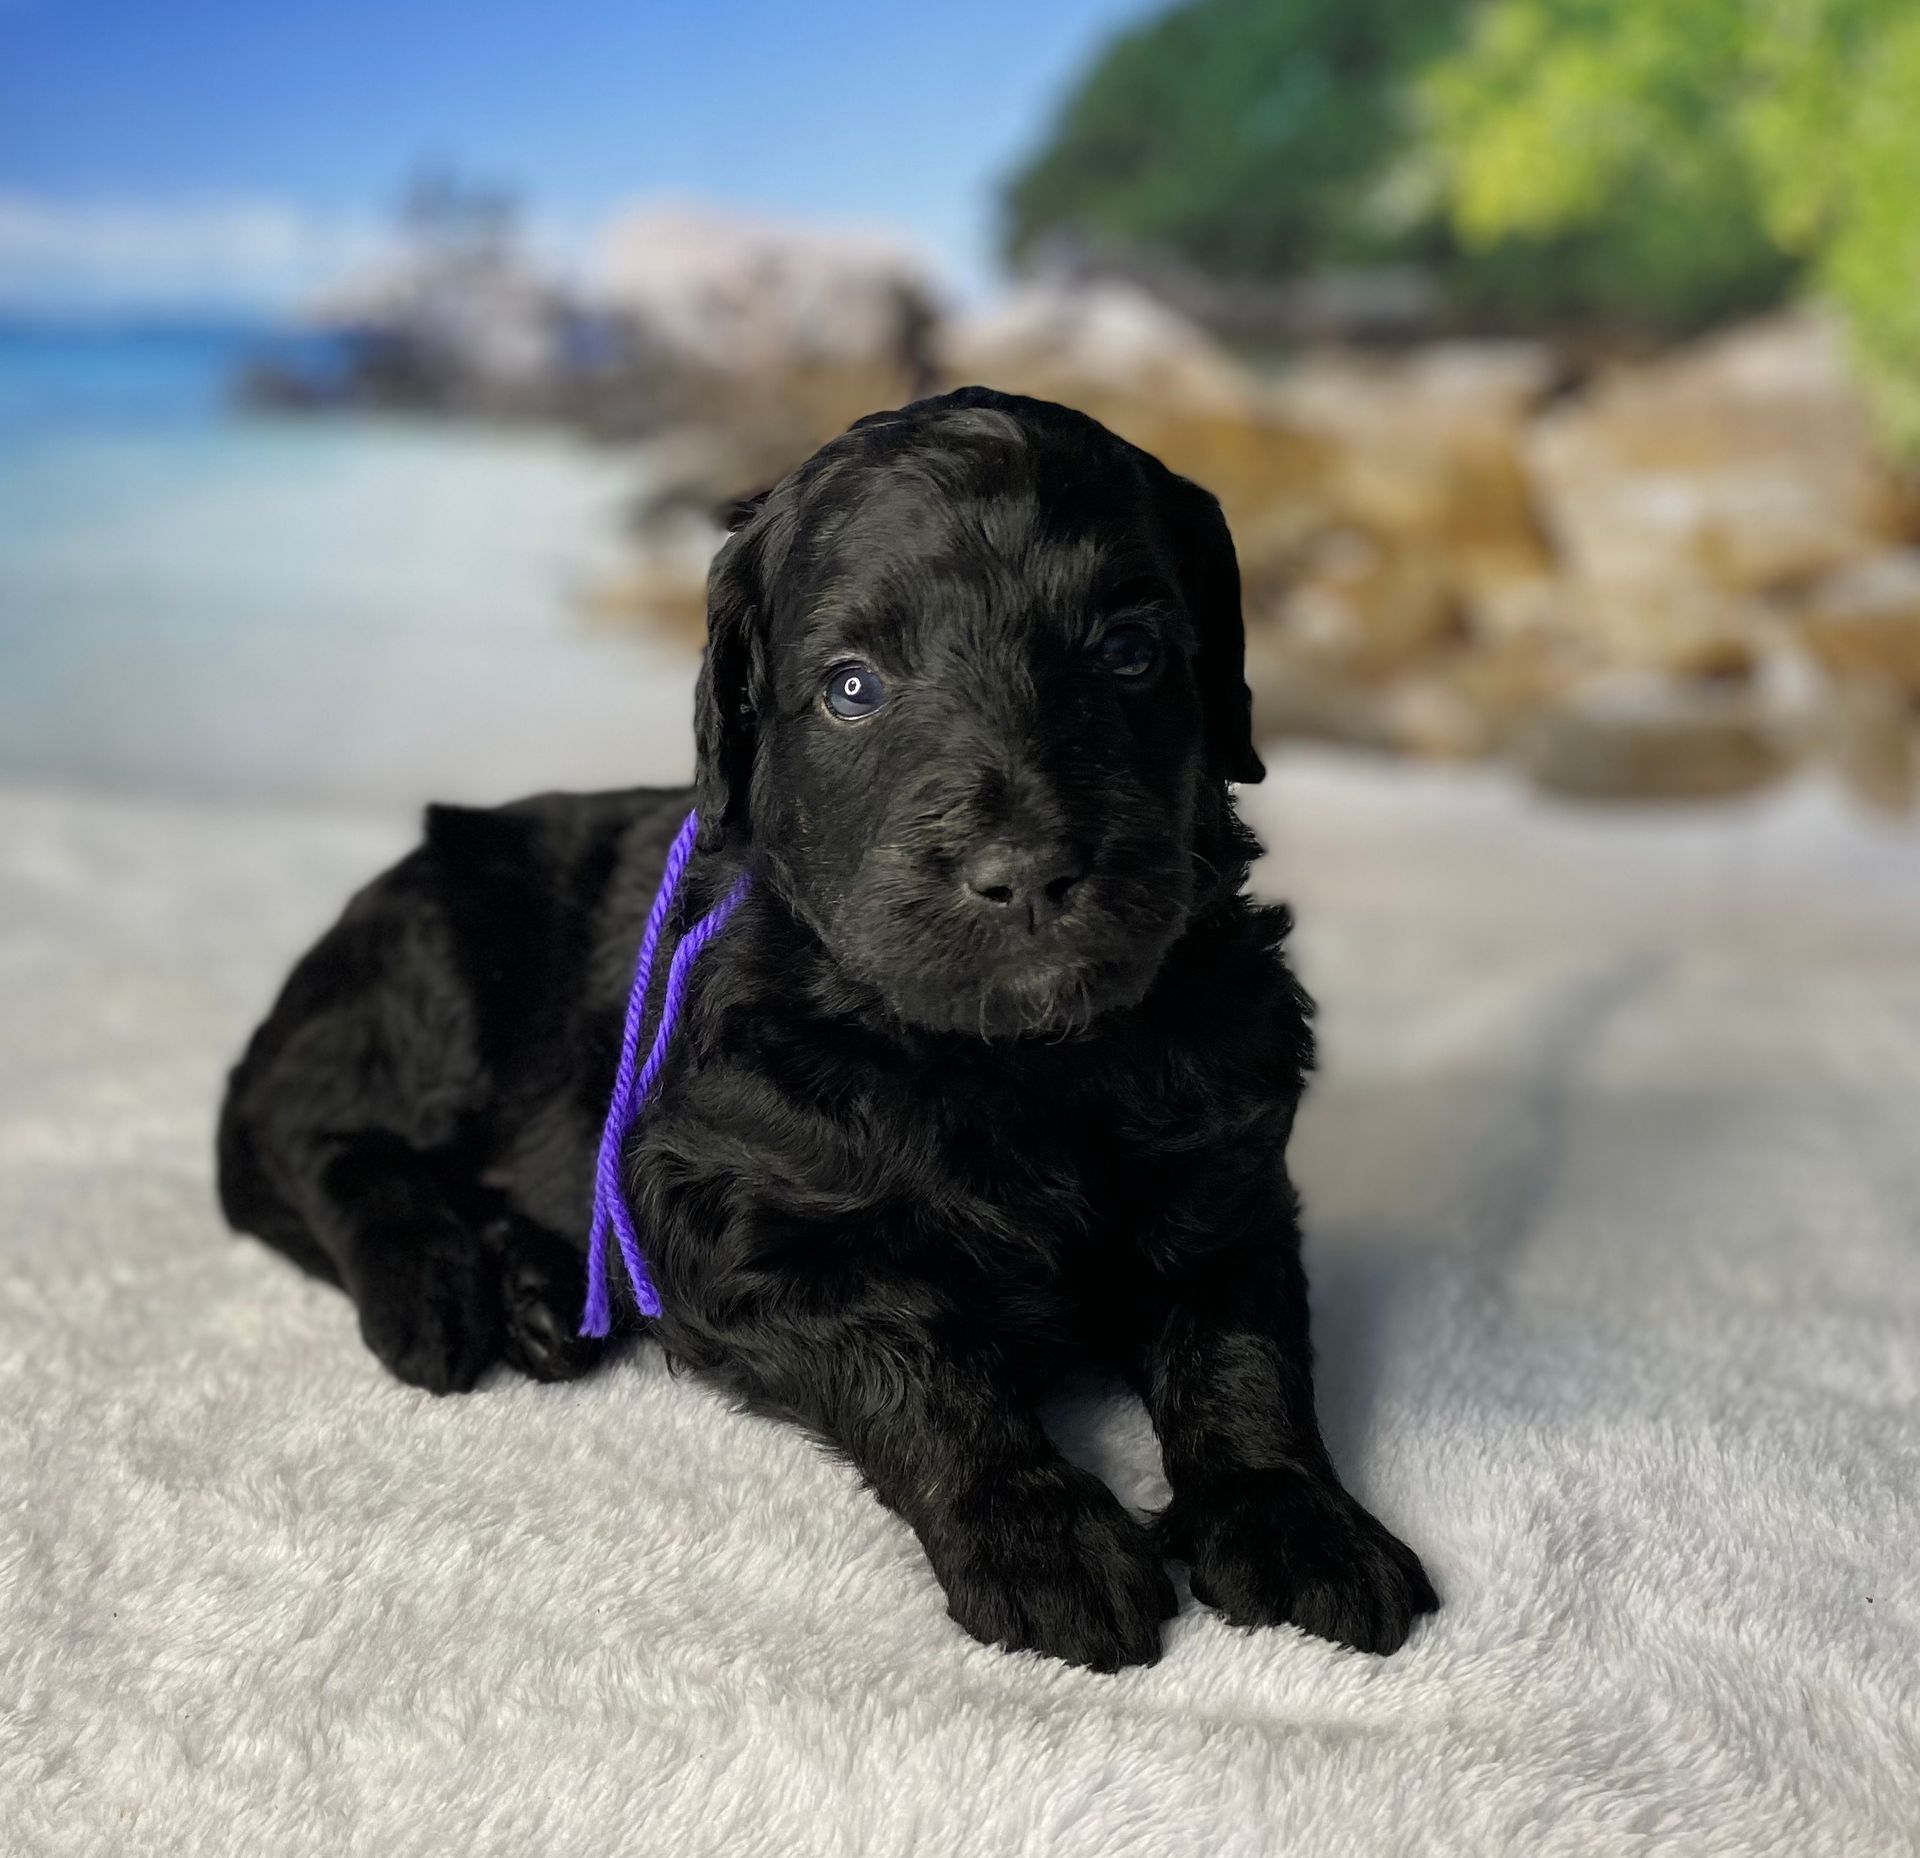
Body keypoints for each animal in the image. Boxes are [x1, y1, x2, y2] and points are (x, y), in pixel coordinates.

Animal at [217, 387, 1436, 1666]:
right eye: (855, 687)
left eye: (1130, 652)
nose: (1028, 871)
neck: (1009, 1063)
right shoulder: (731, 1216)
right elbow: (922, 1353)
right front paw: (1042, 1537)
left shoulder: (1226, 1172)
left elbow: (1241, 1346)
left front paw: (1295, 1519)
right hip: (435, 964)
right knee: (318, 1136)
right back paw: (437, 1295)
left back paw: (538, 1293)